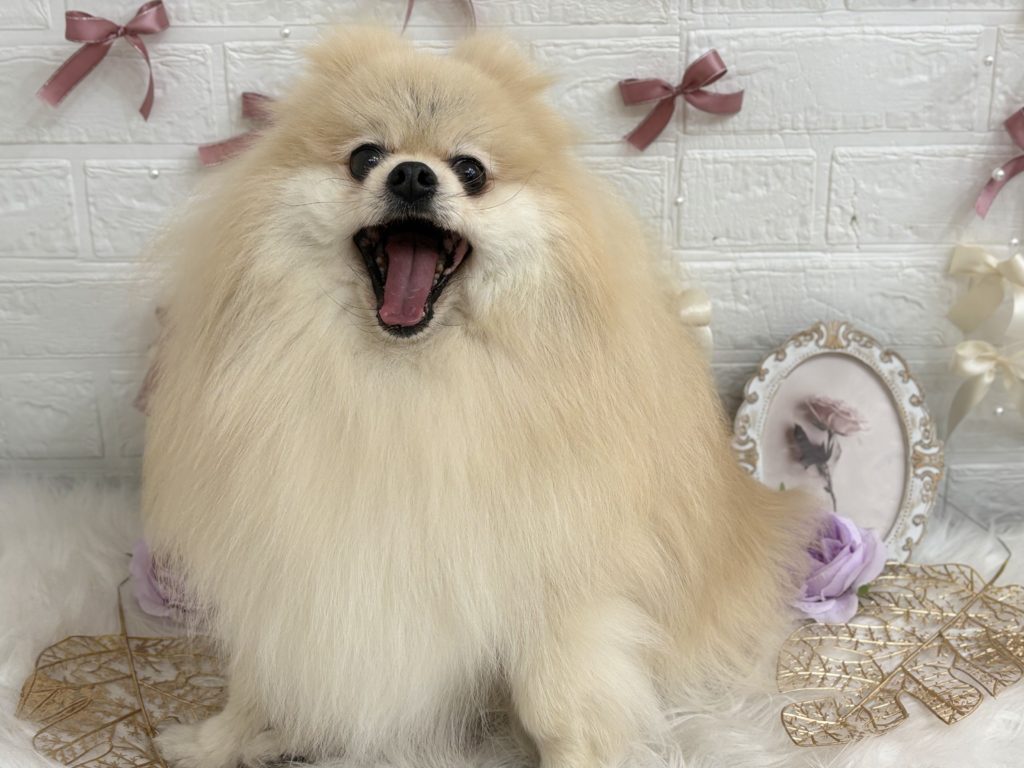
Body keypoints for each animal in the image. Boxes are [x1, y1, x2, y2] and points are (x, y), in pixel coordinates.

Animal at [142, 28, 813, 768]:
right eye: (364, 157)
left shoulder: (556, 582)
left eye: (470, 171)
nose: (411, 174)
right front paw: (215, 740)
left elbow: (557, 708)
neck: (404, 379)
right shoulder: (287, 559)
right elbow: (258, 676)